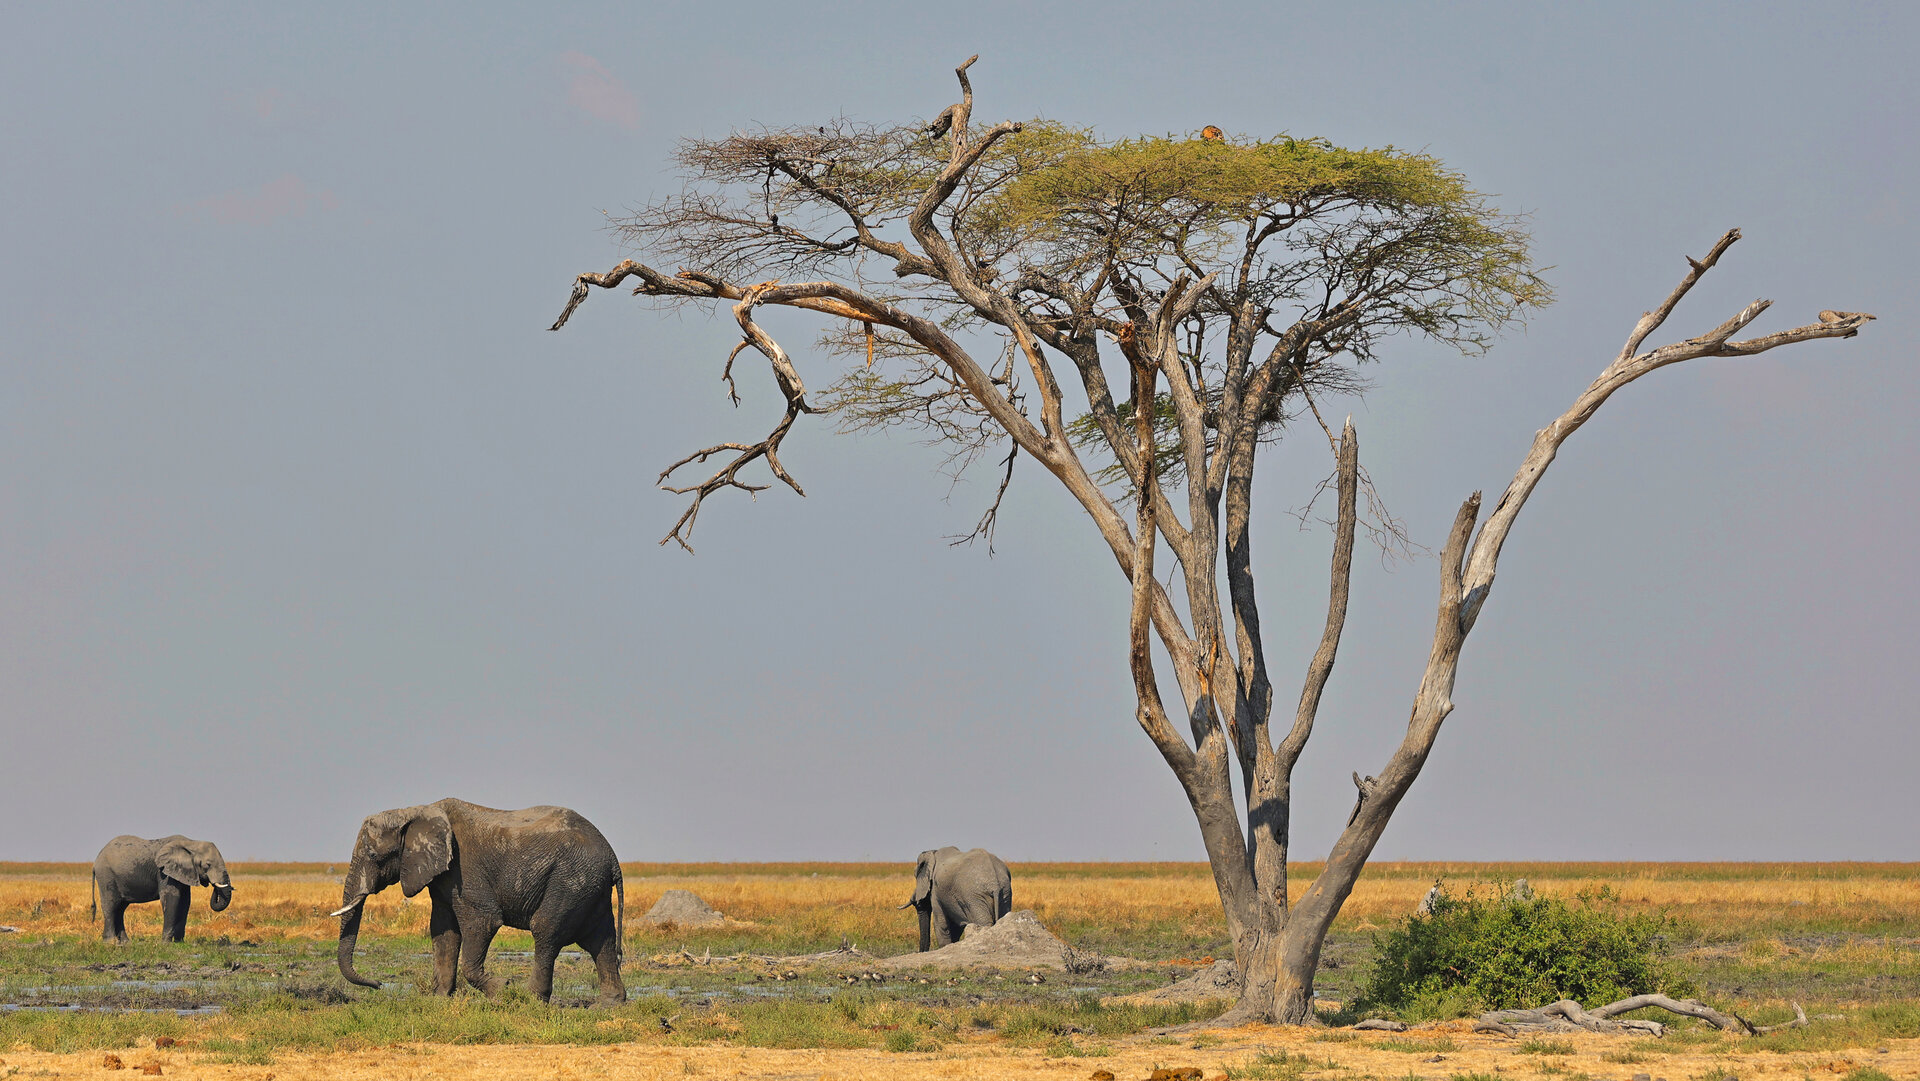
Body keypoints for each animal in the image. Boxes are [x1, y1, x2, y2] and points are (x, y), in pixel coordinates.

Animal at [91, 833, 234, 944]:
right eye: (207, 865)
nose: (213, 885)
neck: (191, 843)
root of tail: (97, 858)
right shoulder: (164, 873)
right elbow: (172, 899)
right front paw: (166, 944)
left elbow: (185, 902)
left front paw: (179, 942)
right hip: (106, 875)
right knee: (111, 905)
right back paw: (110, 943)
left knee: (120, 908)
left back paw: (126, 943)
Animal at [334, 794, 625, 1006]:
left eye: (374, 856)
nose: (379, 985)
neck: (415, 811)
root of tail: (613, 858)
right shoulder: (444, 876)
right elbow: (443, 932)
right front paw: (439, 1000)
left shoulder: (466, 871)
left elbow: (482, 922)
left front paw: (502, 989)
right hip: (589, 888)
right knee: (602, 942)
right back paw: (608, 1005)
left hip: (571, 880)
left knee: (546, 931)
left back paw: (530, 999)